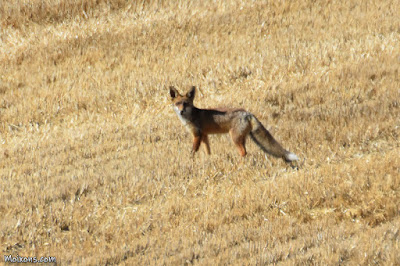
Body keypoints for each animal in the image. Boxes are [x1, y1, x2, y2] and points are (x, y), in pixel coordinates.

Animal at [170, 86, 300, 163]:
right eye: (177, 104)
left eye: (186, 104)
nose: (181, 111)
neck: (191, 116)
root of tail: (247, 113)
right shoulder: (204, 135)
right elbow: (208, 150)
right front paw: (209, 159)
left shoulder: (197, 135)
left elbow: (193, 151)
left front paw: (190, 160)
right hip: (241, 138)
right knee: (245, 151)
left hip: (235, 138)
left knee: (243, 152)